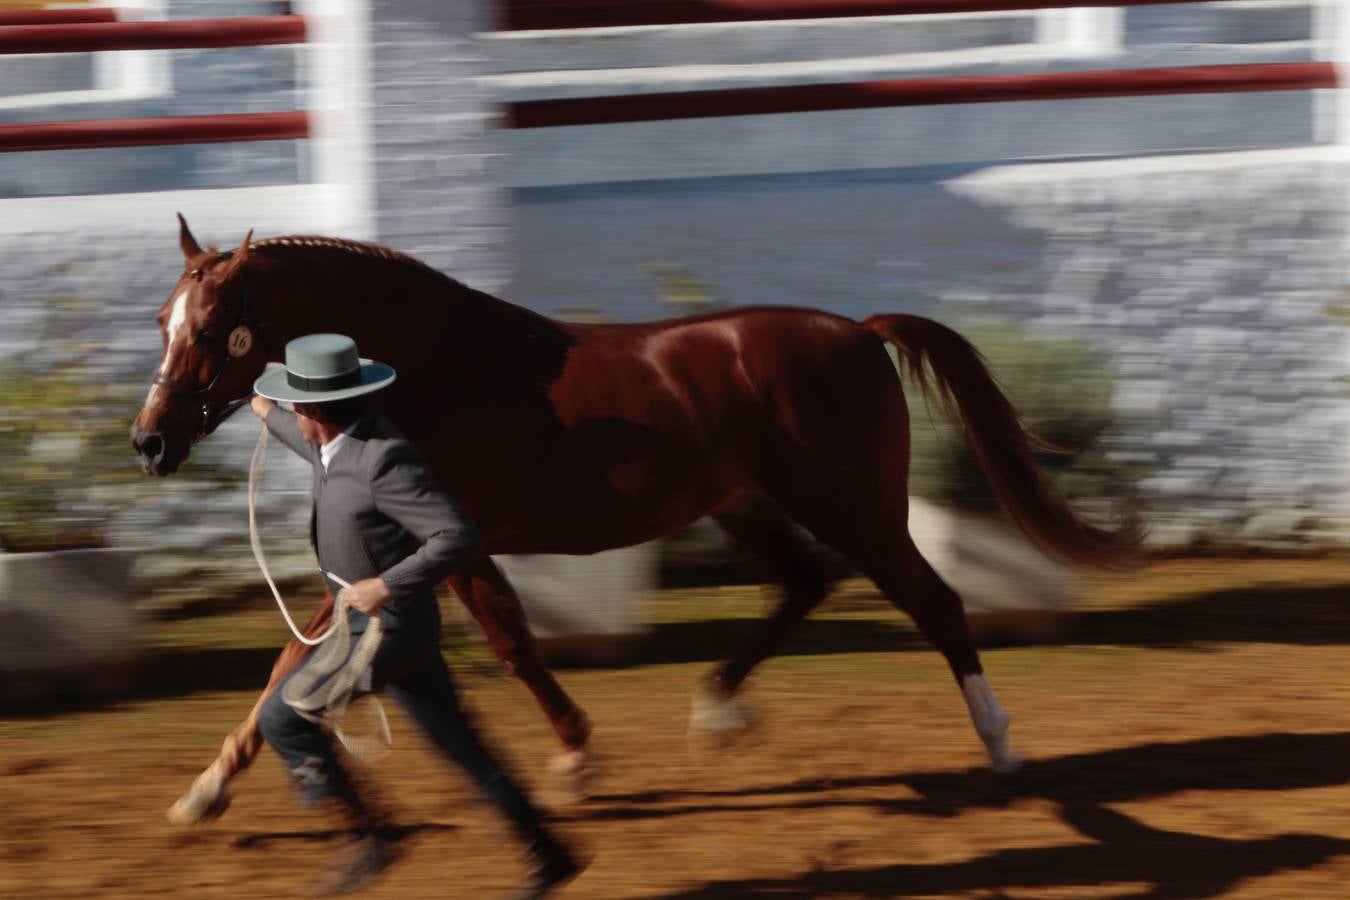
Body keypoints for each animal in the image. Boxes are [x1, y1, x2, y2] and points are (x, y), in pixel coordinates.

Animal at [131, 215, 1139, 825]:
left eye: (216, 327)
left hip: (855, 508)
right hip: (747, 507)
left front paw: (578, 760)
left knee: (935, 602)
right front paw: (202, 792)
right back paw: (718, 710)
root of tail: (859, 331)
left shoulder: (452, 537)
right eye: (161, 320)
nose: (150, 440)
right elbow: (292, 661)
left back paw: (1000, 745)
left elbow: (513, 642)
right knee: (807, 582)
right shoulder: (388, 551)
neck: (433, 367)